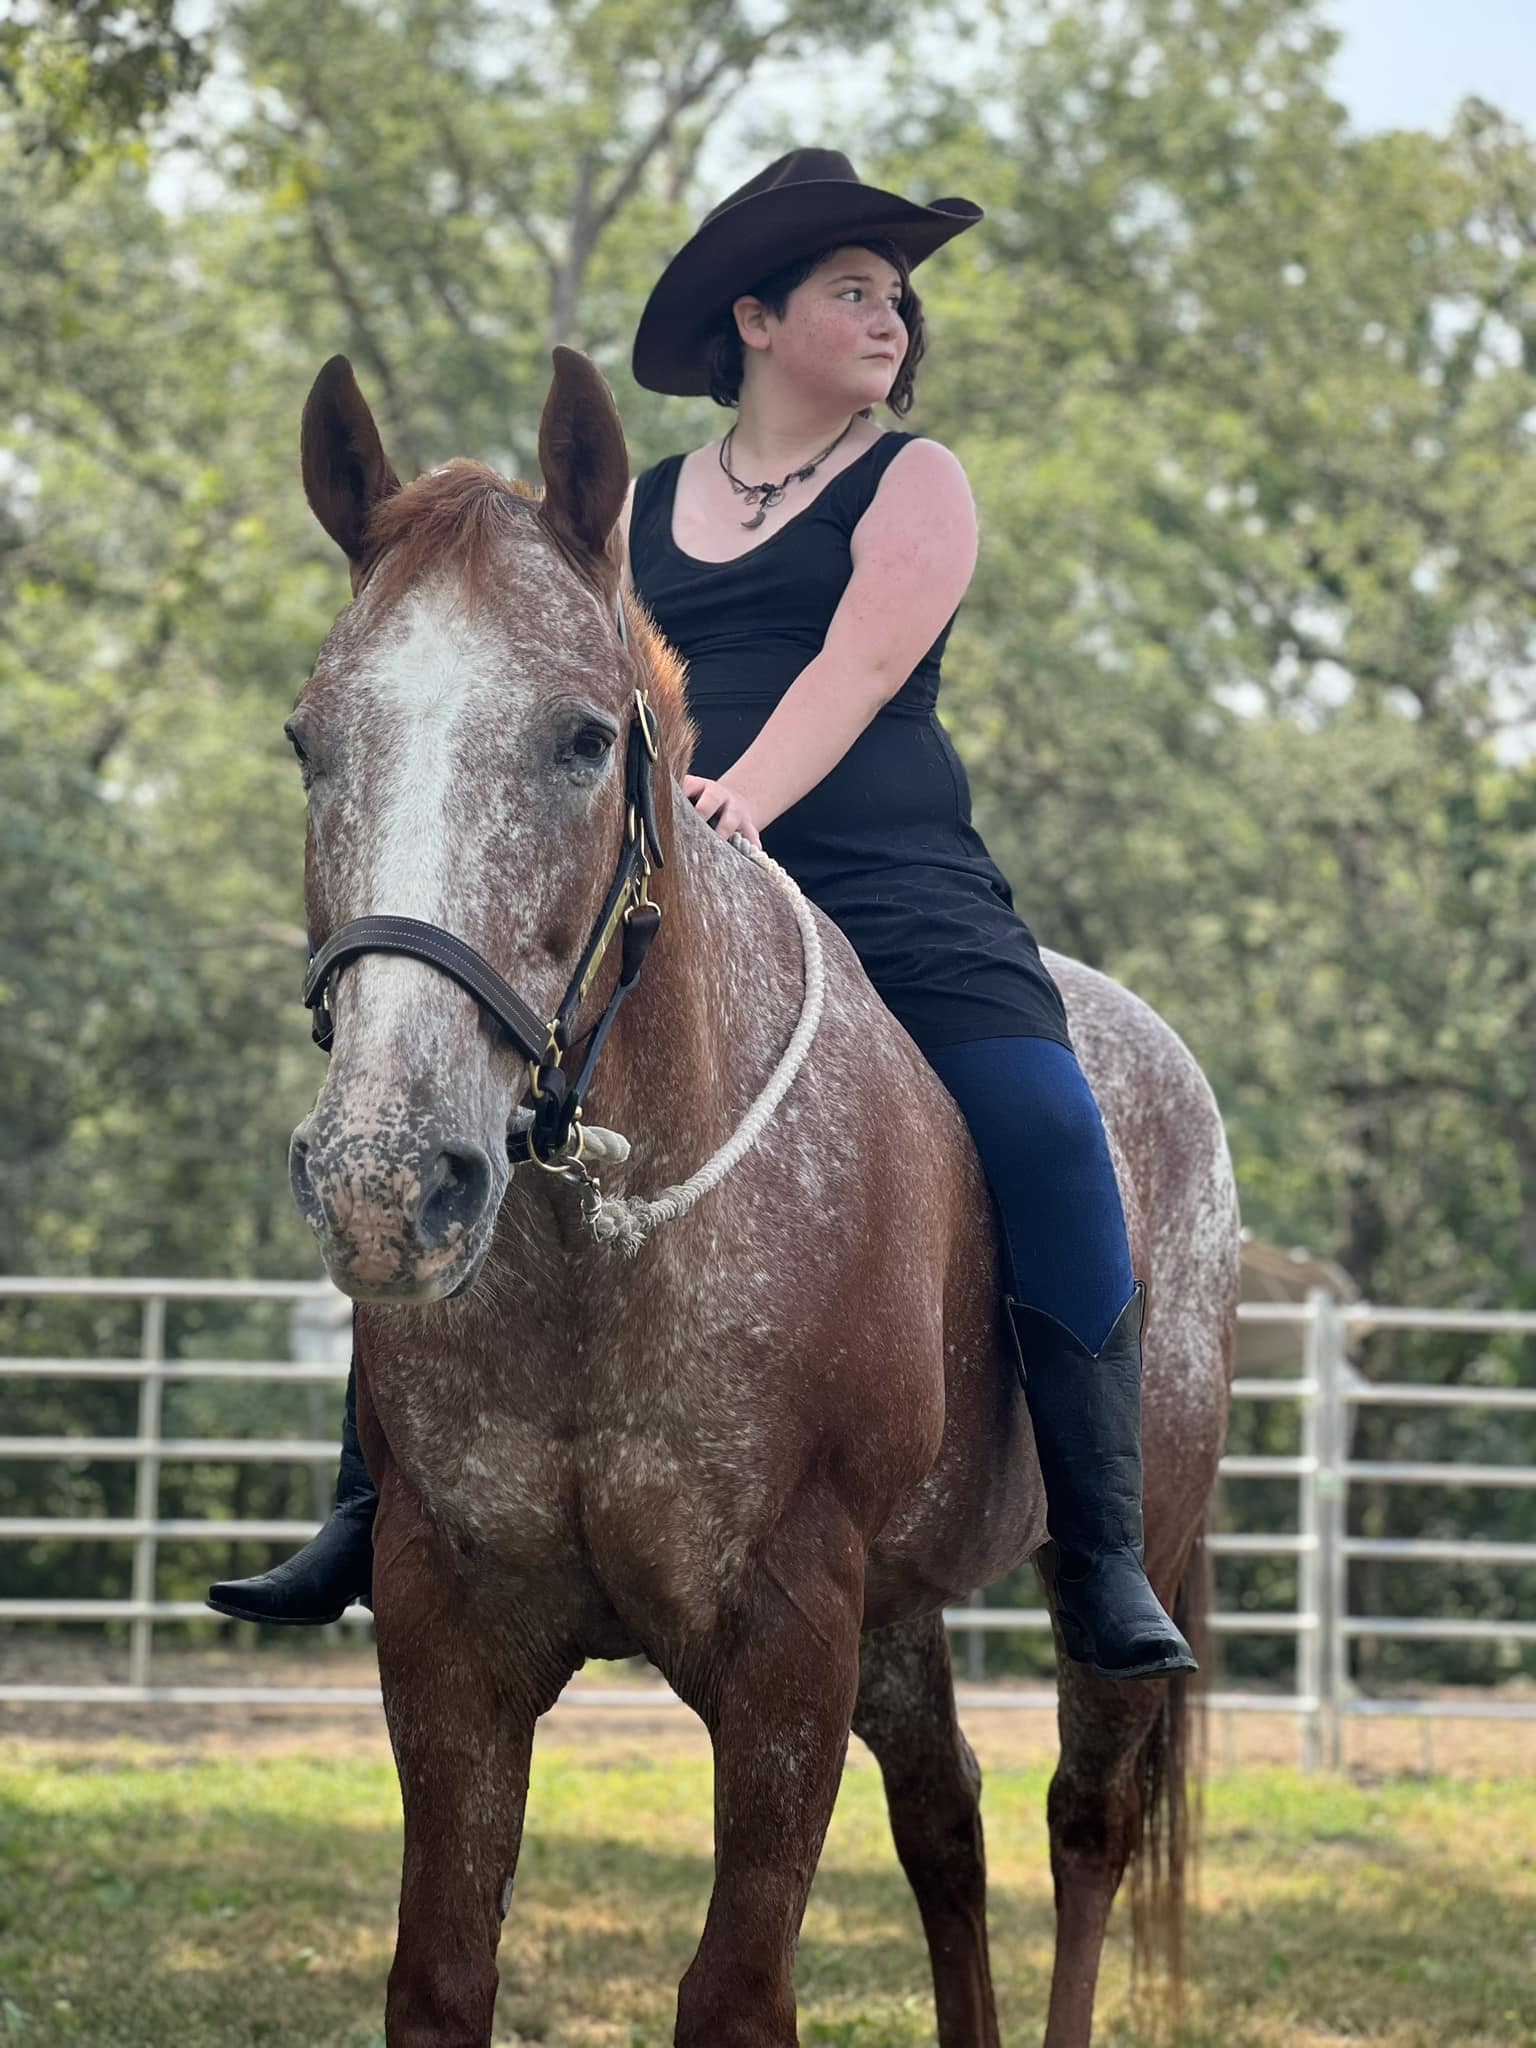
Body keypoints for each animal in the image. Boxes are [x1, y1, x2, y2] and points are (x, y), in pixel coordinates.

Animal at [286, 342, 1240, 2048]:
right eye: (308, 741)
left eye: (583, 740)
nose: (386, 1180)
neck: (599, 1250)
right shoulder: (446, 1627)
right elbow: (441, 1975)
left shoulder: (785, 1636)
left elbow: (739, 1990)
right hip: (901, 1615)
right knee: (947, 1822)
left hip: (1105, 1592)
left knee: (1086, 1829)